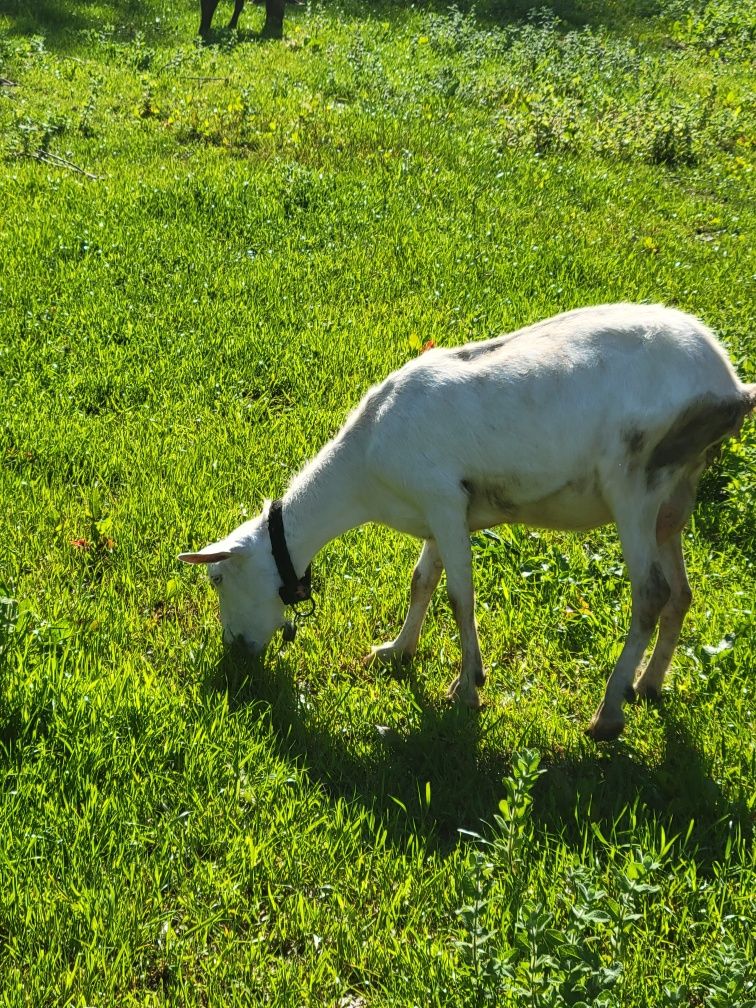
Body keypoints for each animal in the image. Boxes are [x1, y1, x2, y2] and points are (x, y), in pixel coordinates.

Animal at [180, 300, 753, 741]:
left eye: (217, 577)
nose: (236, 648)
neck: (362, 473)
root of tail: (728, 382)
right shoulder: (442, 509)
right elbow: (422, 581)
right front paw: (396, 651)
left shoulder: (440, 498)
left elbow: (460, 596)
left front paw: (468, 688)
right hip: (675, 493)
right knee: (681, 593)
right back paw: (650, 684)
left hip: (635, 480)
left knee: (650, 594)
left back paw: (609, 713)